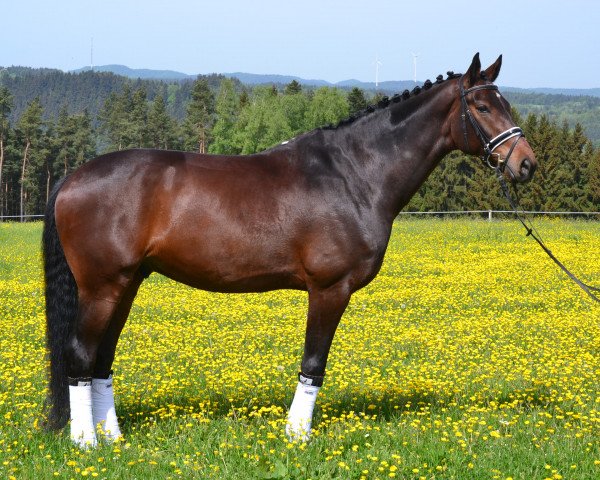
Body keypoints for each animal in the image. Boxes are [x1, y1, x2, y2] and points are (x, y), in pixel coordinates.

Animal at [44, 53, 536, 446]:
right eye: (483, 106)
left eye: (506, 103)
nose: (526, 163)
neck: (354, 174)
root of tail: (72, 178)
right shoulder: (330, 289)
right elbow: (314, 363)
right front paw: (297, 436)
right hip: (103, 288)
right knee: (81, 356)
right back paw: (86, 443)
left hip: (125, 286)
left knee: (102, 360)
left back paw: (113, 438)